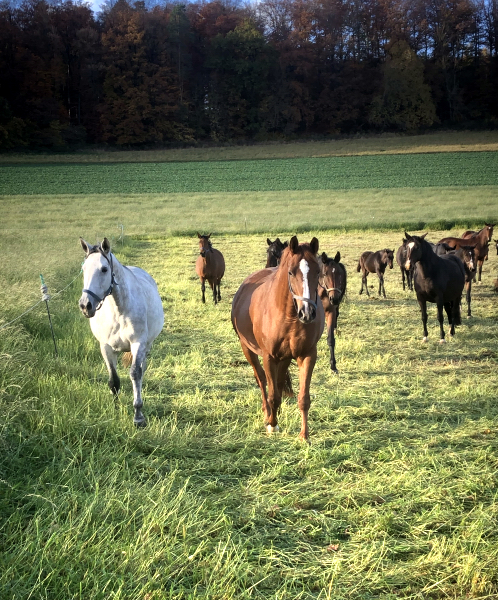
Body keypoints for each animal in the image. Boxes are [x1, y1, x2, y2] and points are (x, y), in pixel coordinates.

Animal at [78, 237, 163, 424]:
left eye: (104, 269)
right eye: (83, 269)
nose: (85, 305)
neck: (118, 311)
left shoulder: (138, 344)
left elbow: (135, 373)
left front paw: (138, 415)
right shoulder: (106, 347)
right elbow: (114, 379)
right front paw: (115, 408)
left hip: (147, 346)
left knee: (141, 369)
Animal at [231, 236, 324, 440]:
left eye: (318, 272)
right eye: (291, 272)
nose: (307, 313)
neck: (289, 316)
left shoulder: (307, 355)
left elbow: (303, 398)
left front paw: (304, 435)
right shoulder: (269, 356)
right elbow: (272, 394)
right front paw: (272, 425)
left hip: (285, 357)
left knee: (279, 383)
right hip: (247, 348)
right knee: (262, 380)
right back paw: (268, 413)